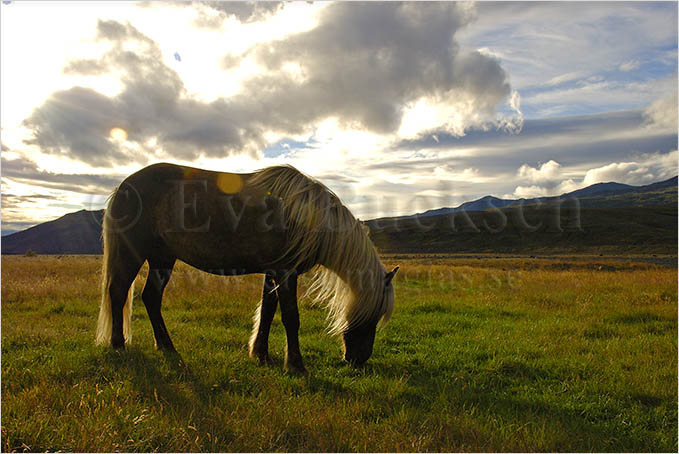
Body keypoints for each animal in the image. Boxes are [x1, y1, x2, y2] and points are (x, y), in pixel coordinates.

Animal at [93, 162, 396, 372]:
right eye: (374, 314)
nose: (358, 360)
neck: (303, 215)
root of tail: (123, 187)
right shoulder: (285, 273)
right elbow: (290, 317)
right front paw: (296, 365)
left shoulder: (273, 273)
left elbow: (268, 312)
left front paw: (260, 354)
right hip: (132, 255)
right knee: (118, 293)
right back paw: (119, 345)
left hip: (162, 258)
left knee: (150, 298)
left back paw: (167, 347)